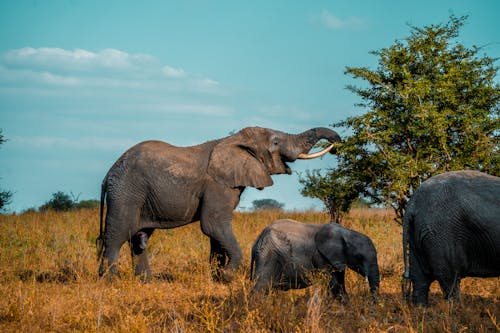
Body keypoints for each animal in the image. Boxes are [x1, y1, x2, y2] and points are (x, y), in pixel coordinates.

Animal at [95, 127, 342, 280]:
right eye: (275, 142)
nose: (337, 146)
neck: (232, 140)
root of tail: (108, 174)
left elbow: (216, 232)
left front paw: (217, 277)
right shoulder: (217, 185)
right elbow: (213, 225)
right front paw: (228, 276)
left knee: (139, 238)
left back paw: (146, 281)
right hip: (125, 193)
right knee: (117, 235)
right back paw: (110, 280)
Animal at [250, 218, 378, 298]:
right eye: (359, 257)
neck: (346, 232)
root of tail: (257, 239)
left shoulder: (338, 258)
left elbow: (340, 281)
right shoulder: (321, 256)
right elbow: (333, 283)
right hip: (268, 254)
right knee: (261, 286)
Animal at [402, 170, 500, 304]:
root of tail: (413, 202)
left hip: (417, 232)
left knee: (420, 279)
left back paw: (421, 308)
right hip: (441, 233)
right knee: (450, 280)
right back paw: (459, 309)